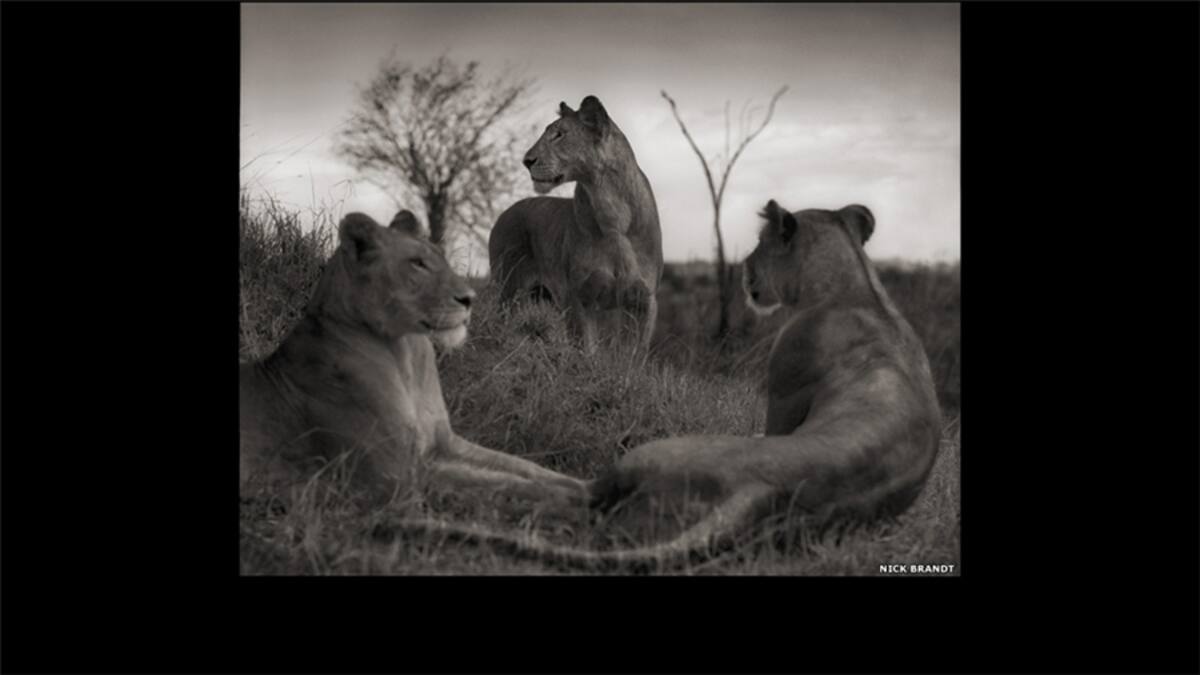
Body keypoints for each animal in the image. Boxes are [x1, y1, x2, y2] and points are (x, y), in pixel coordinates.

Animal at [239, 210, 591, 508]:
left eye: (441, 258)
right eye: (417, 263)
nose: (470, 299)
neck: (406, 354)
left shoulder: (445, 443)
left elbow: (521, 466)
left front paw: (583, 484)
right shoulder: (394, 478)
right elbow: (497, 484)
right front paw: (586, 498)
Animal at [382, 200, 942, 572]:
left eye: (760, 246)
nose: (745, 268)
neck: (860, 288)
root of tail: (757, 491)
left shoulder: (783, 390)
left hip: (645, 459)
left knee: (571, 492)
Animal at [487, 95, 663, 351]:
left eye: (559, 134)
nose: (526, 161)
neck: (613, 213)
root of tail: (505, 212)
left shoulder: (645, 301)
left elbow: (635, 353)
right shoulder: (579, 297)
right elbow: (585, 349)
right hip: (508, 288)